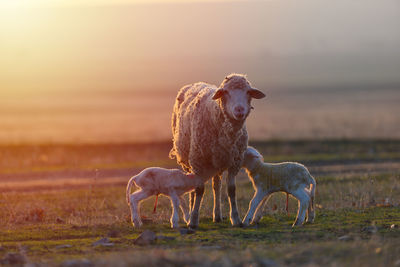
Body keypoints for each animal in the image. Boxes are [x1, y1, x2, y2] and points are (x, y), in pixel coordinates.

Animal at [169, 73, 266, 228]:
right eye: (225, 92)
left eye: (248, 92)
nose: (239, 110)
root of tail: (197, 83)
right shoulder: (198, 161)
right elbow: (199, 190)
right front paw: (193, 220)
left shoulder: (235, 162)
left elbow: (231, 190)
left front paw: (236, 219)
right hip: (188, 160)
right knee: (192, 185)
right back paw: (190, 214)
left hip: (216, 161)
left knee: (216, 185)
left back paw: (217, 215)